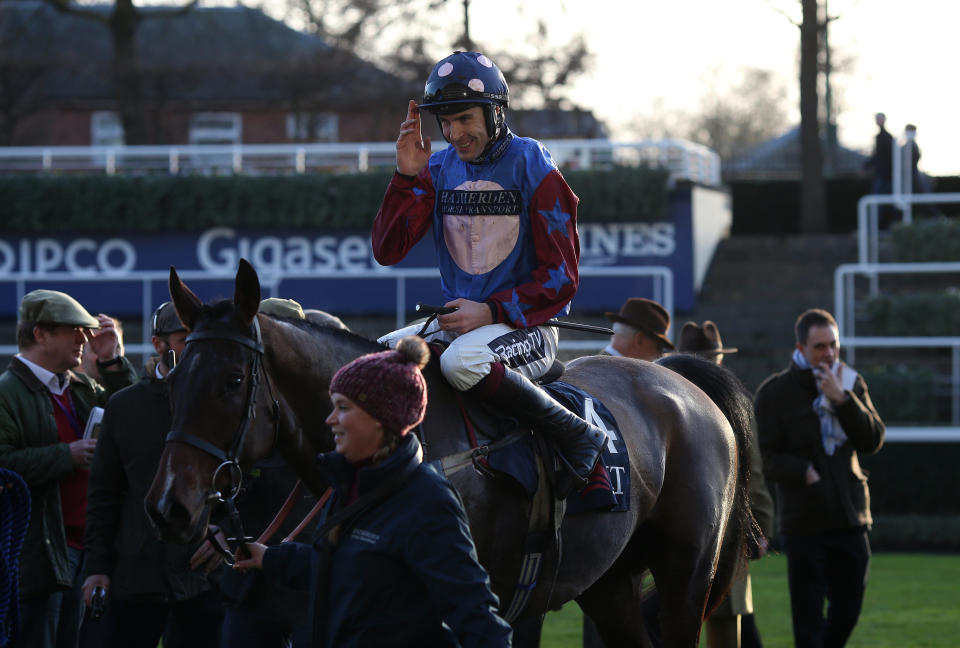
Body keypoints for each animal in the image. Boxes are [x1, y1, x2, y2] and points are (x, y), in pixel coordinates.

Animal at [146, 260, 752, 644]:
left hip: (686, 576)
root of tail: (682, 381)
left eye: (231, 382)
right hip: (609, 582)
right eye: (172, 382)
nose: (168, 506)